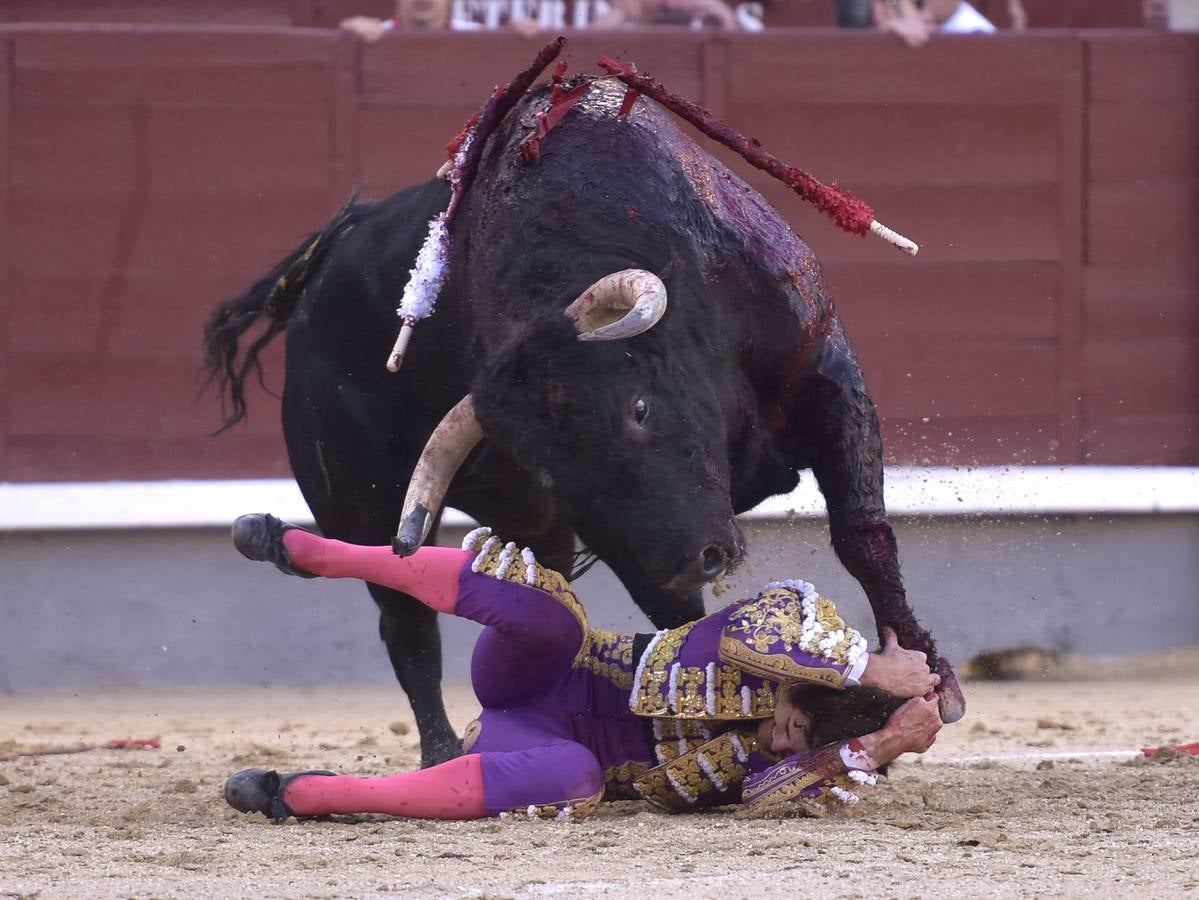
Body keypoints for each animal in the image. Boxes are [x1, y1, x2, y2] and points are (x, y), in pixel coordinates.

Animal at [206, 79, 963, 766]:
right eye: (550, 468)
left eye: (639, 408)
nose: (702, 556)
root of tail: (313, 275)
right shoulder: (621, 529)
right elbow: (674, 607)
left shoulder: (827, 378)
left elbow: (861, 535)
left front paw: (931, 676)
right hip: (362, 502)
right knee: (407, 624)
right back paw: (445, 752)